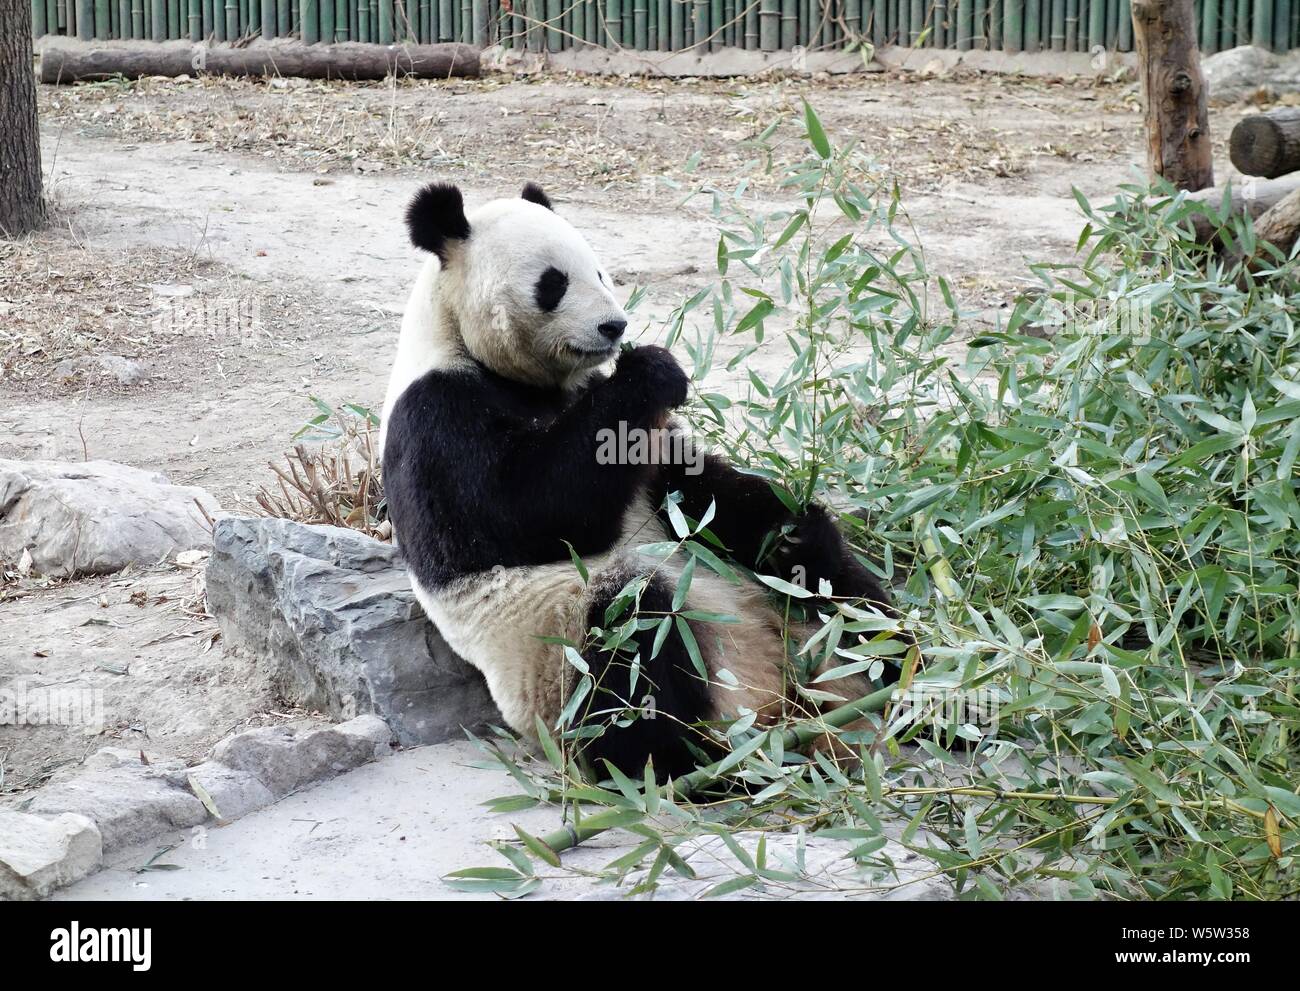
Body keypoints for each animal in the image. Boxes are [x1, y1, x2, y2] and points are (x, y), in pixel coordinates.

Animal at [379, 182, 899, 775]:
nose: (615, 327)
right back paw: (697, 762)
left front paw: (786, 526)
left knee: (832, 585)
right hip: (557, 652)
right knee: (632, 643)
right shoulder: (436, 416)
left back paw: (898, 666)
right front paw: (653, 369)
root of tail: (772, 700)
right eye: (553, 283)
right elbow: (524, 512)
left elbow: (698, 490)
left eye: (601, 272)